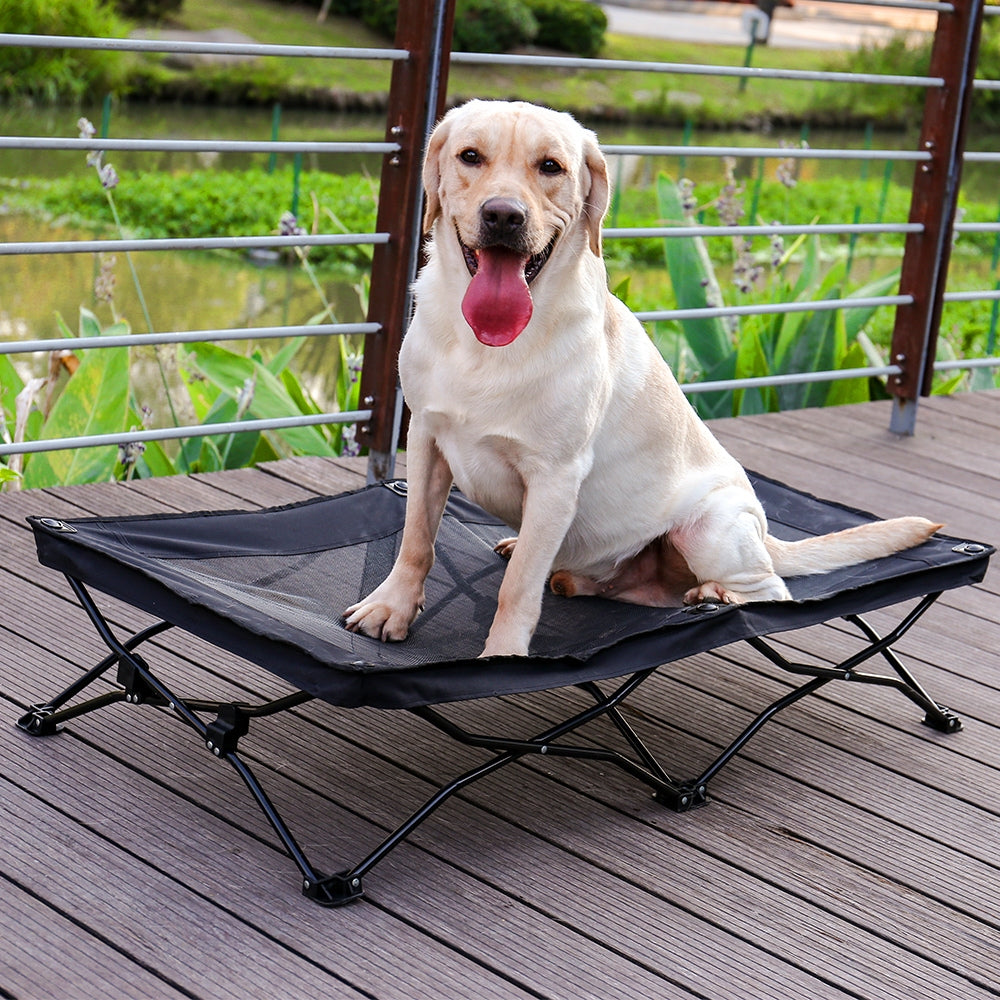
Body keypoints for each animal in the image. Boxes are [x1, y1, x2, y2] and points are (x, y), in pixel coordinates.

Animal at [344, 101, 936, 660]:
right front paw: (391, 607)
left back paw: (716, 595)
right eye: (471, 157)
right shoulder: (427, 438)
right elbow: (416, 540)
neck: (485, 347)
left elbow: (516, 589)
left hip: (711, 528)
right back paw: (575, 574)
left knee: (770, 591)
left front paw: (502, 657)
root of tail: (767, 536)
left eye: (550, 166)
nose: (503, 215)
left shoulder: (555, 476)